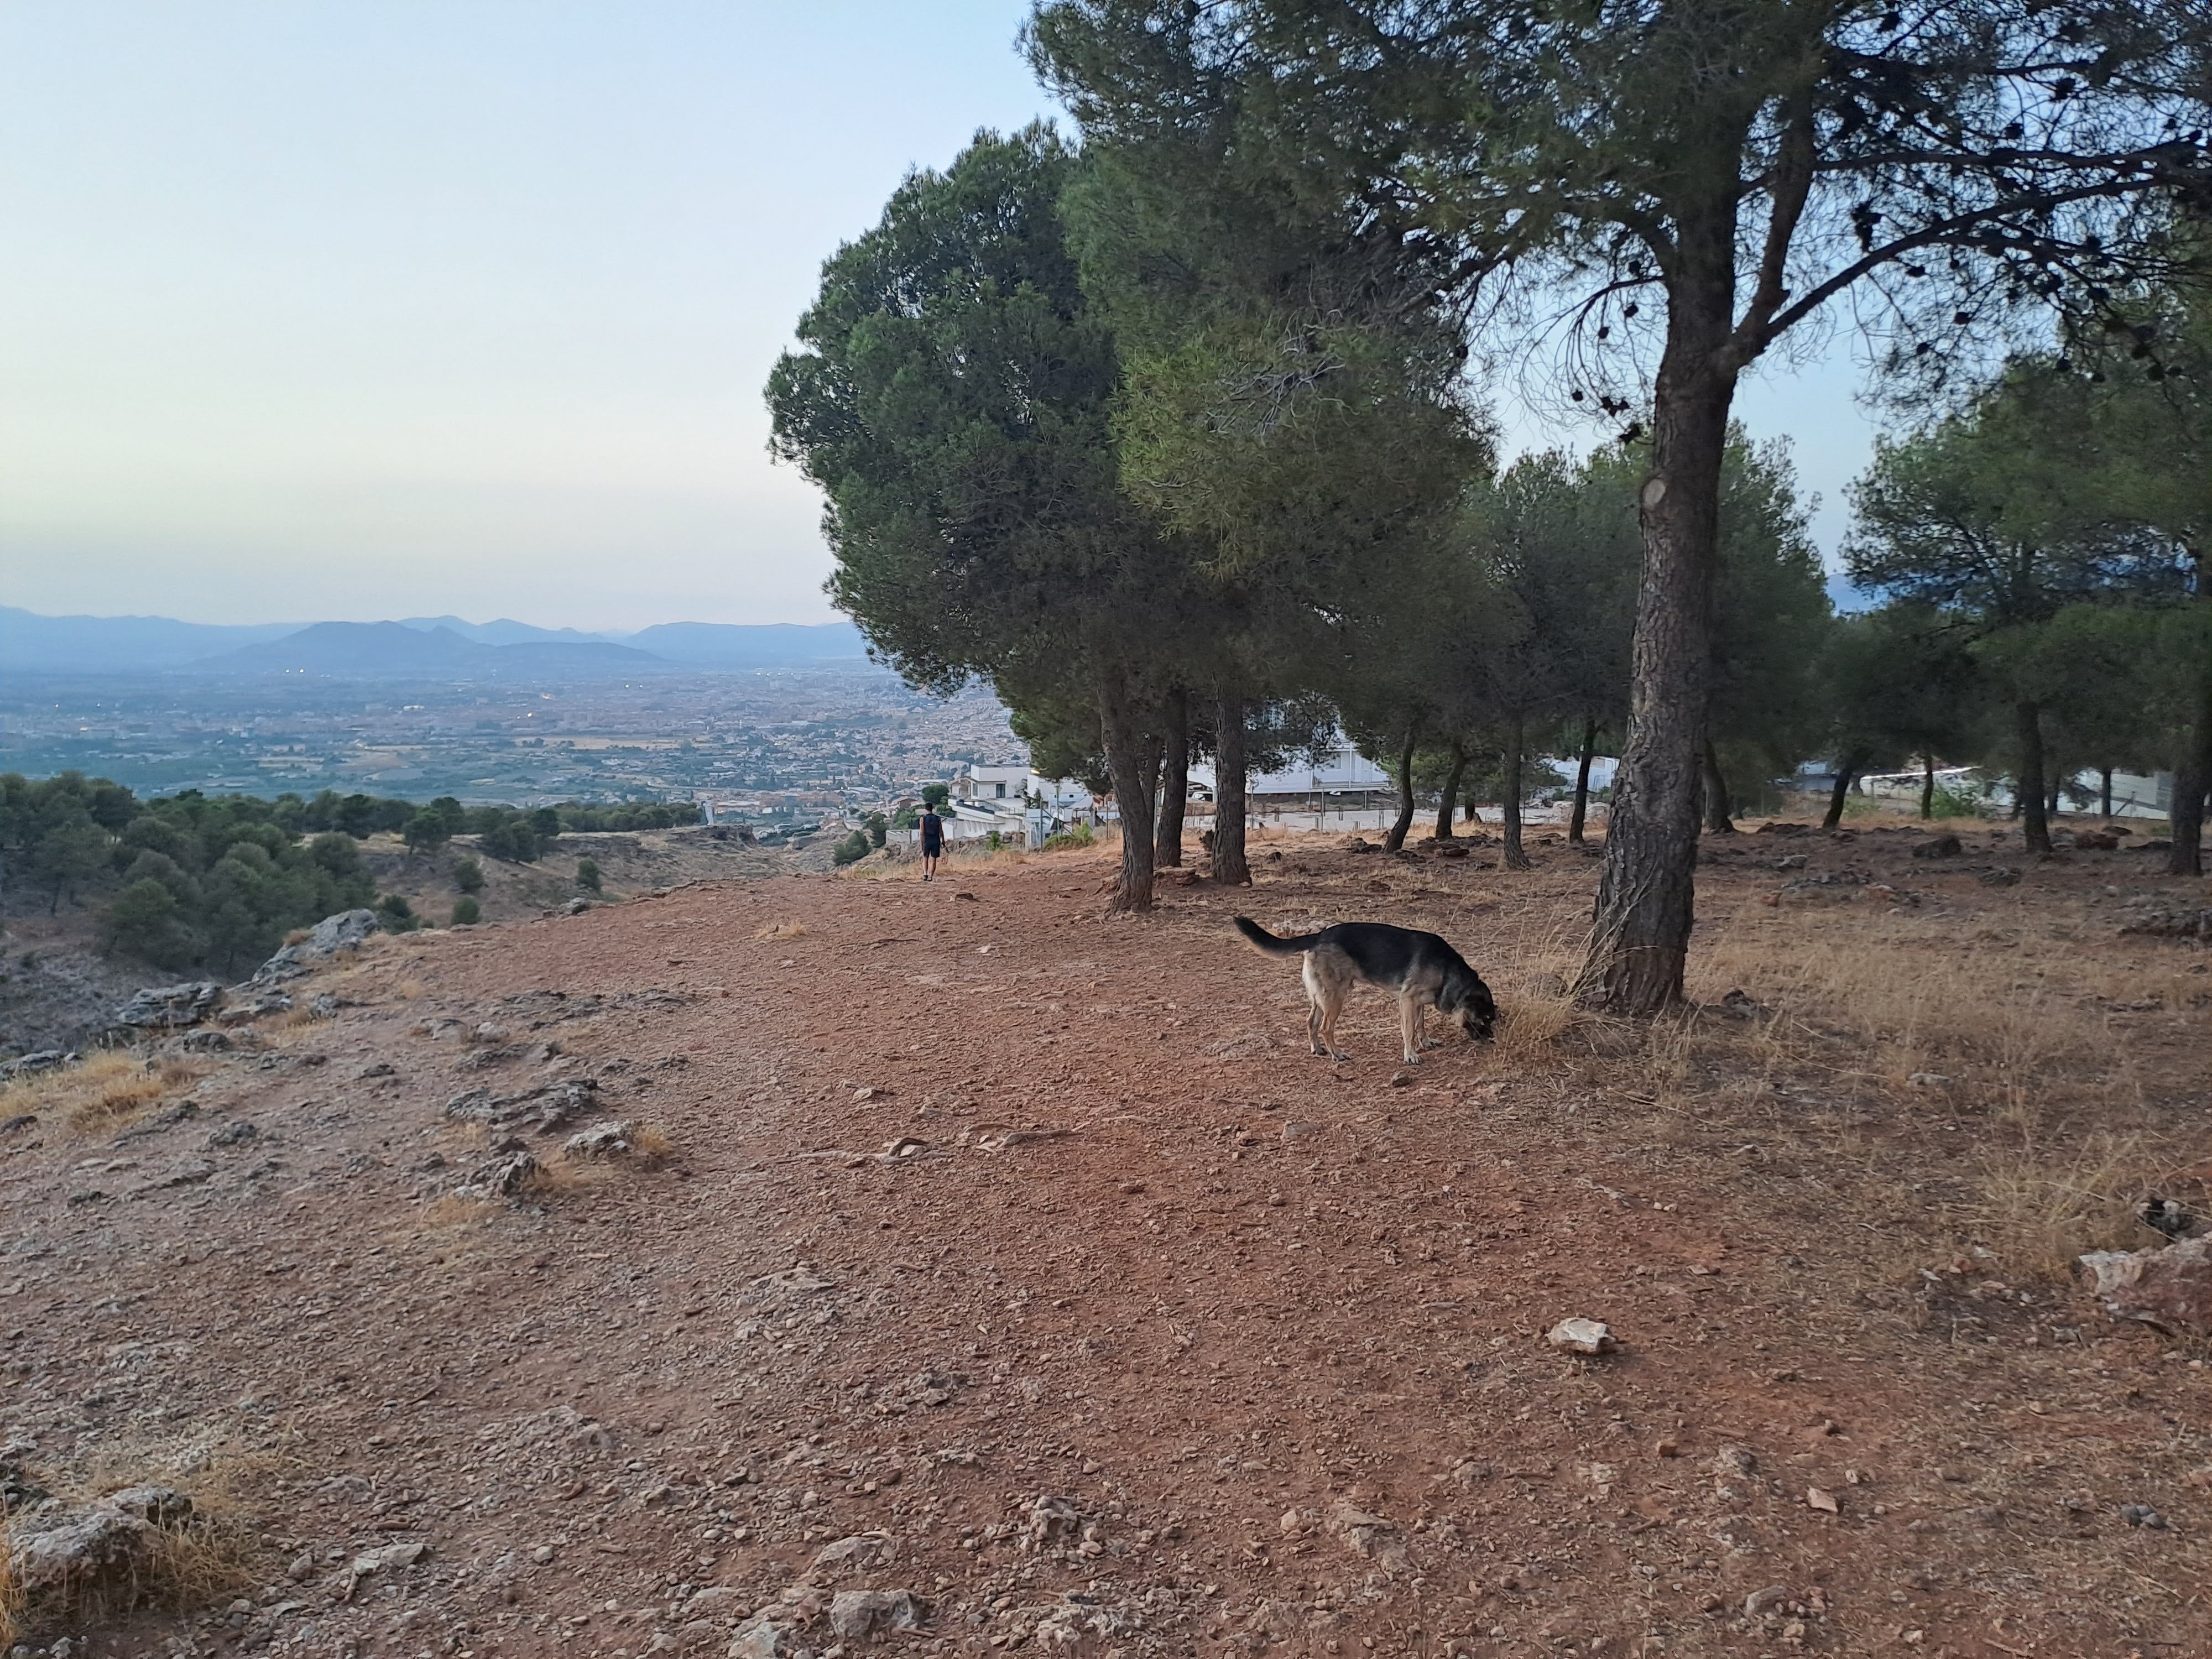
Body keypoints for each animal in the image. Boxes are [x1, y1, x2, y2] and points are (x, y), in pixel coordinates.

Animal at [1239, 925, 1495, 1066]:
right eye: (1485, 1020)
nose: (1493, 1041)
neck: (1448, 970)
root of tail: (1319, 936)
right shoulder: (1407, 1000)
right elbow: (1409, 1031)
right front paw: (1411, 1055)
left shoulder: (1418, 1002)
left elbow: (1420, 1025)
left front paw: (1426, 1042)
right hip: (1336, 996)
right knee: (1325, 1028)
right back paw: (1337, 1054)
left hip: (1322, 997)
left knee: (1310, 1021)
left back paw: (1318, 1049)